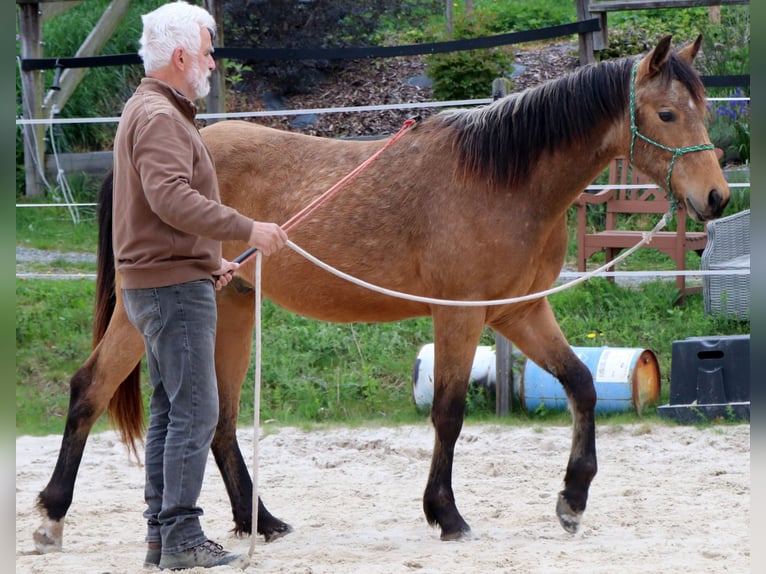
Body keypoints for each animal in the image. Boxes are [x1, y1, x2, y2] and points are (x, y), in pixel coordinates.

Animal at [33, 35, 728, 553]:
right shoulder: (461, 316)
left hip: (229, 309)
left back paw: (263, 522)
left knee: (219, 422)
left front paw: (572, 500)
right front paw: (446, 515)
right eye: (667, 114)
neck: (505, 179)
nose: (717, 197)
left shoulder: (519, 312)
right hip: (150, 314)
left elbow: (582, 386)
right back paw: (52, 515)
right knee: (91, 388)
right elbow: (449, 413)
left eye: (707, 109)